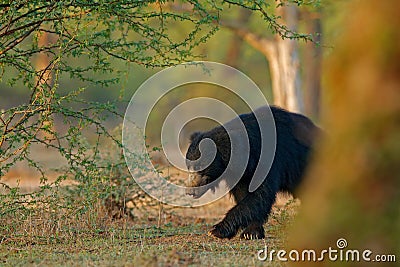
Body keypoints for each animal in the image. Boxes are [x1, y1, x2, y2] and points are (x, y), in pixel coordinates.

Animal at [185, 106, 322, 241]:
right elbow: (245, 195)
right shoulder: (241, 175)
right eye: (189, 167)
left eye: (201, 167)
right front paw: (251, 232)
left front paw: (216, 230)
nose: (190, 191)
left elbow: (260, 195)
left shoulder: (270, 161)